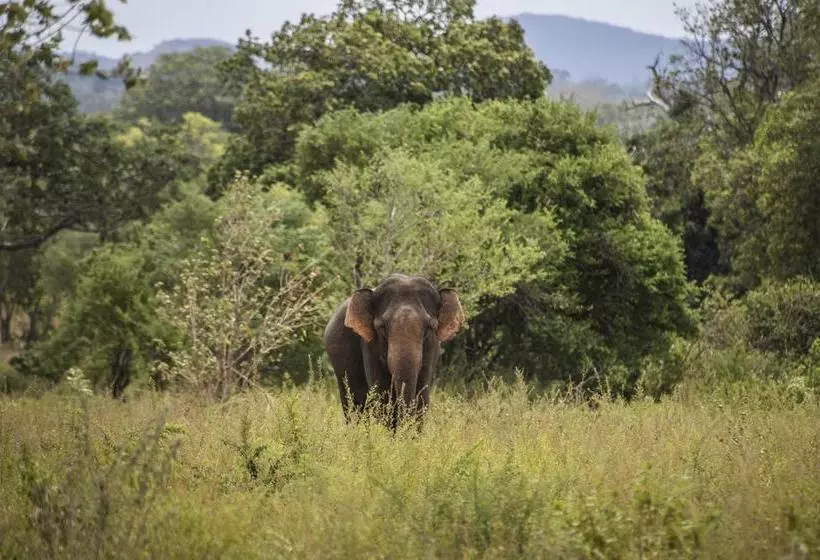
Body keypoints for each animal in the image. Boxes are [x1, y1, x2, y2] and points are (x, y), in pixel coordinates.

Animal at [323, 273, 465, 429]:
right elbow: (382, 394)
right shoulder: (370, 345)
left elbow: (422, 393)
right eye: (382, 327)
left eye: (429, 327)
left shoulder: (432, 347)